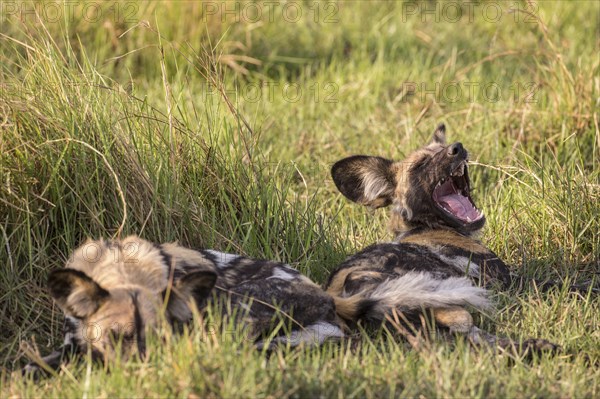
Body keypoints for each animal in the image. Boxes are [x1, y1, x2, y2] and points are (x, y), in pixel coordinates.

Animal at [24, 236, 342, 374]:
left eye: (158, 338)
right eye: (116, 336)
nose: (142, 372)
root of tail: (328, 301)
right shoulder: (71, 344)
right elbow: (34, 365)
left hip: (228, 314)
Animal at [328, 123, 556, 354]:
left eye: (444, 148)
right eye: (420, 165)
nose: (457, 148)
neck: (424, 226)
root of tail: (337, 297)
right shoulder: (508, 280)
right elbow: (561, 282)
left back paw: (535, 347)